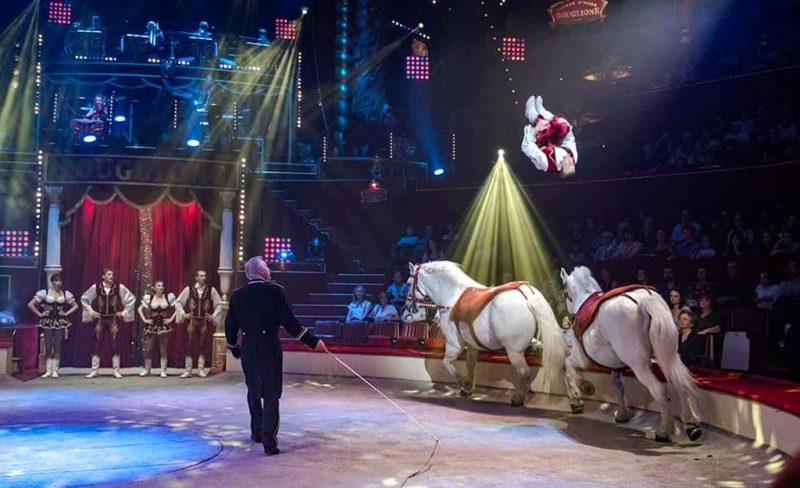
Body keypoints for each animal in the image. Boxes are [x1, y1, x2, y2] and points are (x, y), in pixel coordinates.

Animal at [406, 262, 568, 406]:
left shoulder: (454, 344)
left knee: (524, 373)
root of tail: (525, 294)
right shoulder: (472, 345)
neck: (452, 297)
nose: (407, 305)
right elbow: (470, 364)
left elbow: (447, 363)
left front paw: (464, 383)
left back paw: (518, 398)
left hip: (514, 351)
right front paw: (468, 389)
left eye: (408, 282)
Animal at [564, 266, 700, 442]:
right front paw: (622, 415)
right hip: (667, 355)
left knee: (659, 389)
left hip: (639, 365)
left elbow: (568, 367)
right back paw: (692, 426)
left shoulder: (581, 359)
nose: (567, 318)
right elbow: (618, 386)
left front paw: (577, 398)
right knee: (680, 382)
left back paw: (663, 431)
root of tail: (644, 300)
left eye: (564, 292)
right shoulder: (616, 367)